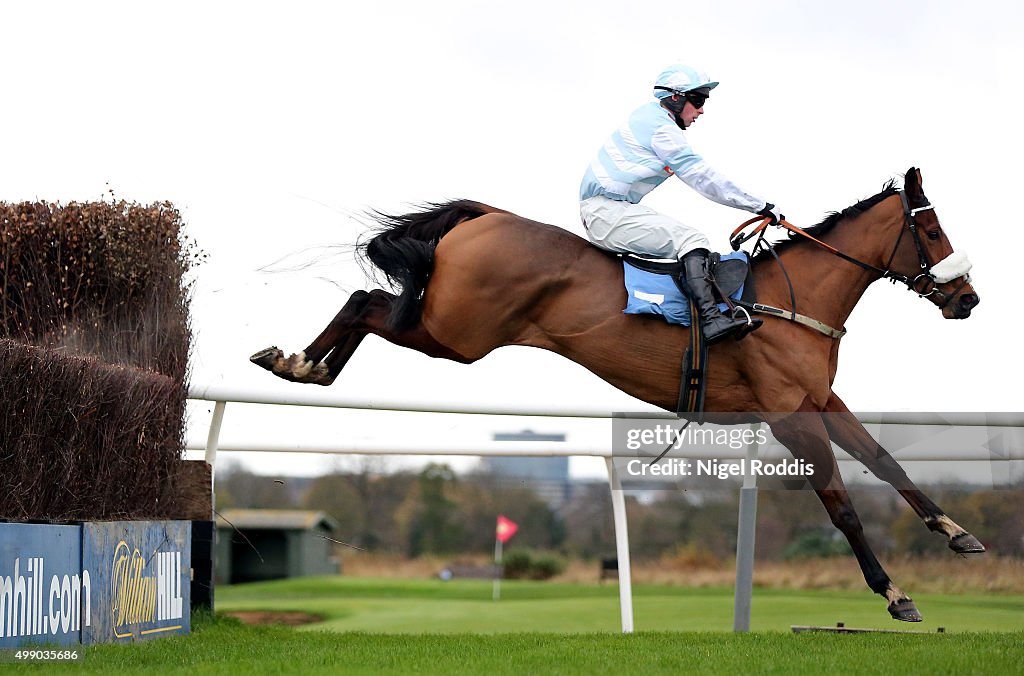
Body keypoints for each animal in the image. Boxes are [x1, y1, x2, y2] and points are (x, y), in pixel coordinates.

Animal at [249, 165, 983, 618]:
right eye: (933, 229)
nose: (968, 300)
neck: (786, 300)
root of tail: (485, 215)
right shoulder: (788, 418)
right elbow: (842, 507)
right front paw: (893, 593)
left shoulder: (820, 402)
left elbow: (885, 462)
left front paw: (956, 532)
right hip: (454, 332)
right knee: (368, 302)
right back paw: (299, 364)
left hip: (449, 329)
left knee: (369, 303)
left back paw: (305, 365)